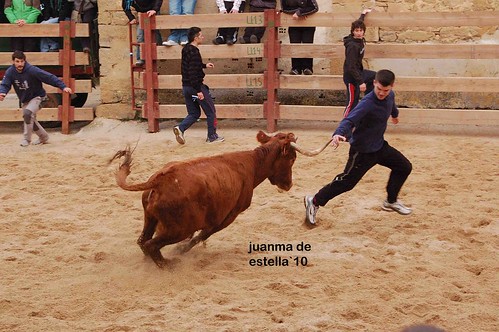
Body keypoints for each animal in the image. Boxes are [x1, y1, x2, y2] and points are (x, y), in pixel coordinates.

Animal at [111, 130, 330, 268]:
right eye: (292, 159)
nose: (288, 185)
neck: (252, 164)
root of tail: (159, 180)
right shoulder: (228, 216)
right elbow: (203, 235)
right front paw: (181, 250)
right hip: (178, 229)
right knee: (151, 245)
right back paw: (169, 264)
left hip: (151, 219)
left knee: (142, 241)